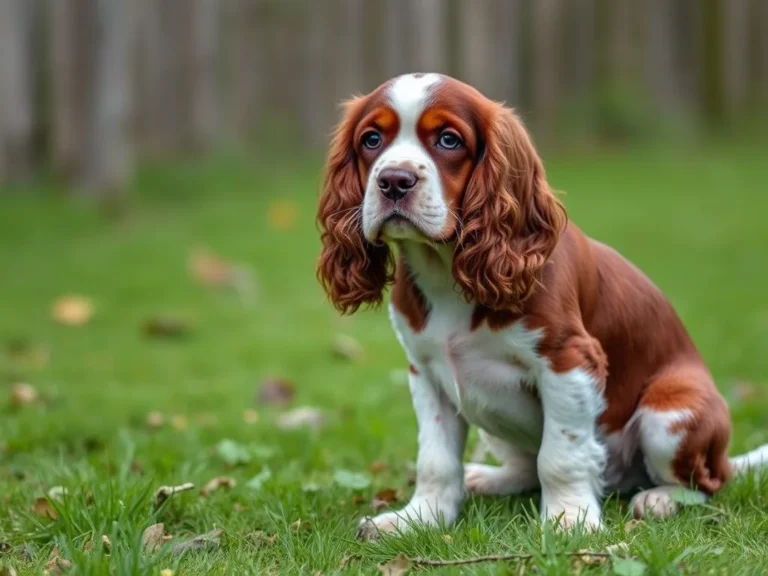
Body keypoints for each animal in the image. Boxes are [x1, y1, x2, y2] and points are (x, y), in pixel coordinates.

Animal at [316, 73, 764, 536]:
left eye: (448, 139)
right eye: (371, 139)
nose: (394, 181)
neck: (446, 269)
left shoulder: (569, 360)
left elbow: (560, 455)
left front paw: (569, 520)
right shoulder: (426, 373)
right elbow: (436, 459)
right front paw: (418, 518)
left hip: (671, 412)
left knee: (708, 482)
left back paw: (658, 498)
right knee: (524, 466)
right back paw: (487, 478)